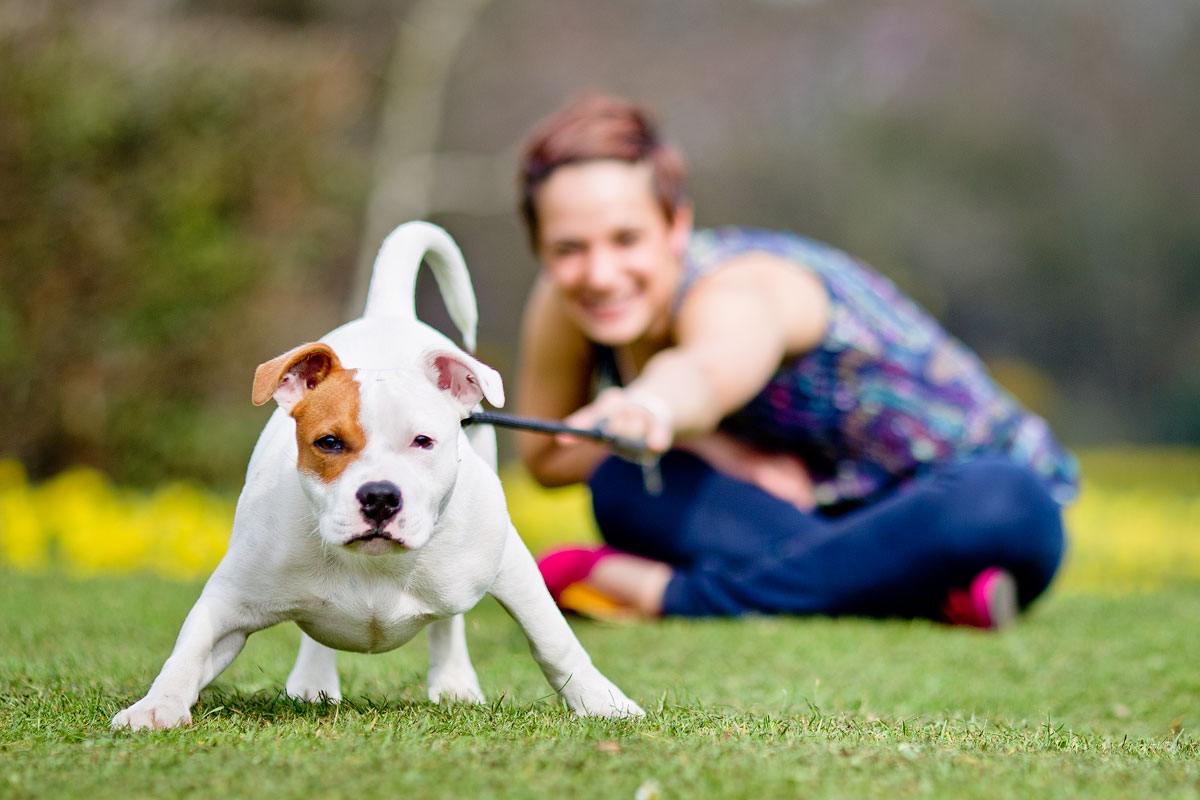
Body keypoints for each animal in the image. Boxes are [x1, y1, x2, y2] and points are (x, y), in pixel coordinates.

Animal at [114, 221, 648, 729]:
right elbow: (190, 650)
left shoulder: (511, 565)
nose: (379, 498)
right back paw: (313, 681)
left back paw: (453, 682)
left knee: (449, 623)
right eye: (329, 442)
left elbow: (553, 640)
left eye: (423, 441)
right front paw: (156, 706)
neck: (374, 565)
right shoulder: (231, 596)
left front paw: (603, 702)